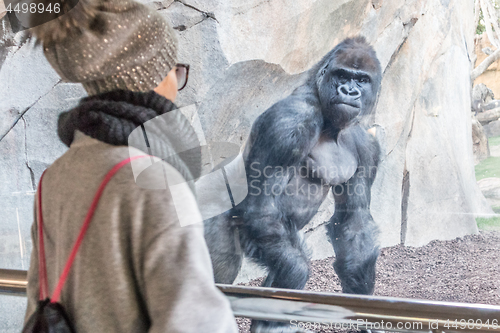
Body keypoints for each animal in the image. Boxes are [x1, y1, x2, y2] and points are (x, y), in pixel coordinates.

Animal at [203, 37, 382, 330]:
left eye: (362, 79)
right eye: (342, 75)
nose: (349, 91)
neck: (332, 126)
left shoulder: (366, 146)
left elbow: (354, 223)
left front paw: (364, 305)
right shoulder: (290, 122)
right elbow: (262, 208)